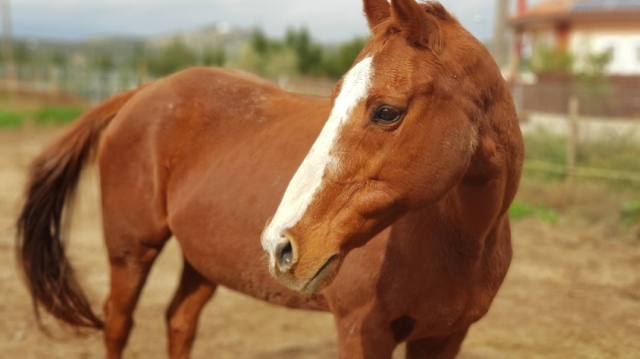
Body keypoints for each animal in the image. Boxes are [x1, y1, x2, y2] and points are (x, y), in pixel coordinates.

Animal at [16, 0, 524, 358]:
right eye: (335, 98)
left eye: (386, 111)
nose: (280, 245)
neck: (459, 240)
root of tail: (145, 90)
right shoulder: (363, 330)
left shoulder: (444, 337)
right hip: (131, 251)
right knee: (118, 325)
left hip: (202, 261)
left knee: (179, 321)